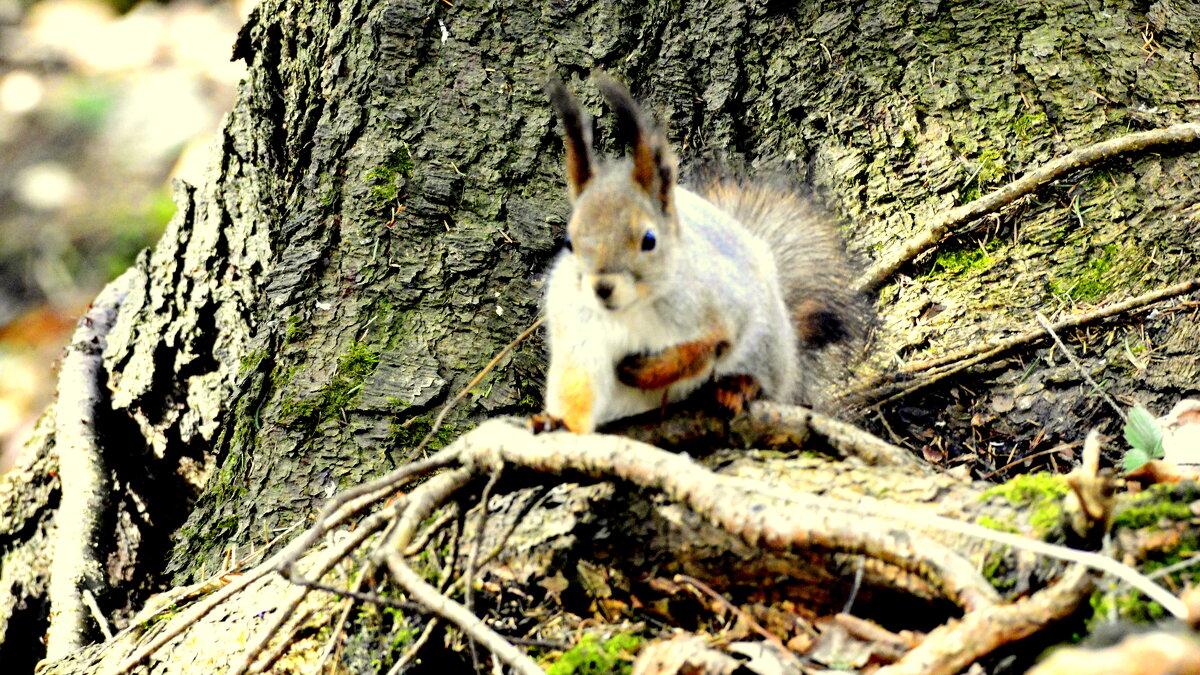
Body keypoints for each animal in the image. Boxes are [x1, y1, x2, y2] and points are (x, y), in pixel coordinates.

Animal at [540, 73, 868, 429]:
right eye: (569, 243)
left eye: (649, 239)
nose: (602, 287)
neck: (632, 309)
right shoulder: (579, 328)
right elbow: (577, 386)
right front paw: (559, 423)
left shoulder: (723, 306)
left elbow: (702, 349)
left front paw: (649, 371)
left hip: (767, 346)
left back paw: (737, 386)